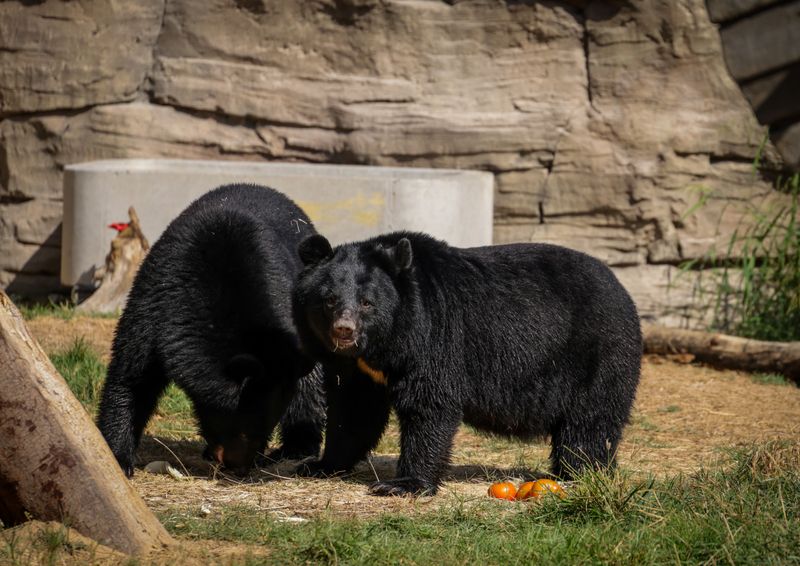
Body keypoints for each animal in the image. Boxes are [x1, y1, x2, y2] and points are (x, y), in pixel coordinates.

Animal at [97, 183, 325, 477]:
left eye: (264, 427)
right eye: (240, 426)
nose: (239, 466)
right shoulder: (156, 299)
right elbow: (132, 373)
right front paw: (118, 456)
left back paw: (296, 448)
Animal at [292, 231, 642, 496]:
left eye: (367, 303)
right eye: (329, 299)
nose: (344, 330)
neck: (383, 344)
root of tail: (622, 289)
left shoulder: (433, 333)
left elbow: (429, 402)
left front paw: (403, 484)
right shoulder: (357, 369)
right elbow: (353, 409)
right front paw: (318, 464)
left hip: (596, 355)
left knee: (589, 423)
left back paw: (578, 473)